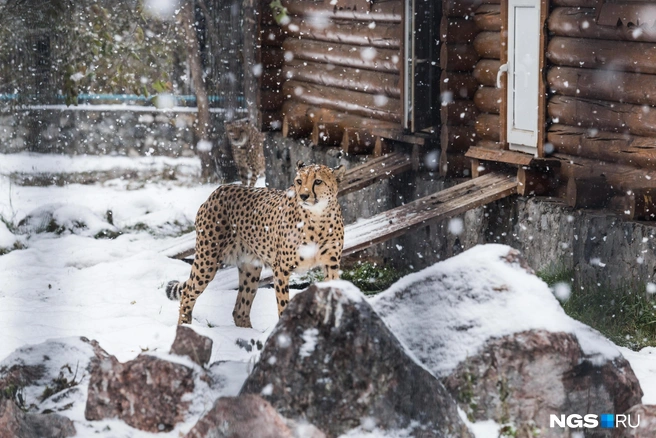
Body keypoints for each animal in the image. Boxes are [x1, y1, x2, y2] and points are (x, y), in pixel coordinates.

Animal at [167, 161, 346, 326]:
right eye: (299, 181)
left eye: (318, 181)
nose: (303, 196)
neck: (318, 219)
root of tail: (219, 190)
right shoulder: (281, 269)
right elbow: (283, 305)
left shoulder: (331, 265)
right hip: (208, 260)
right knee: (188, 292)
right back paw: (185, 326)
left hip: (250, 269)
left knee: (240, 310)